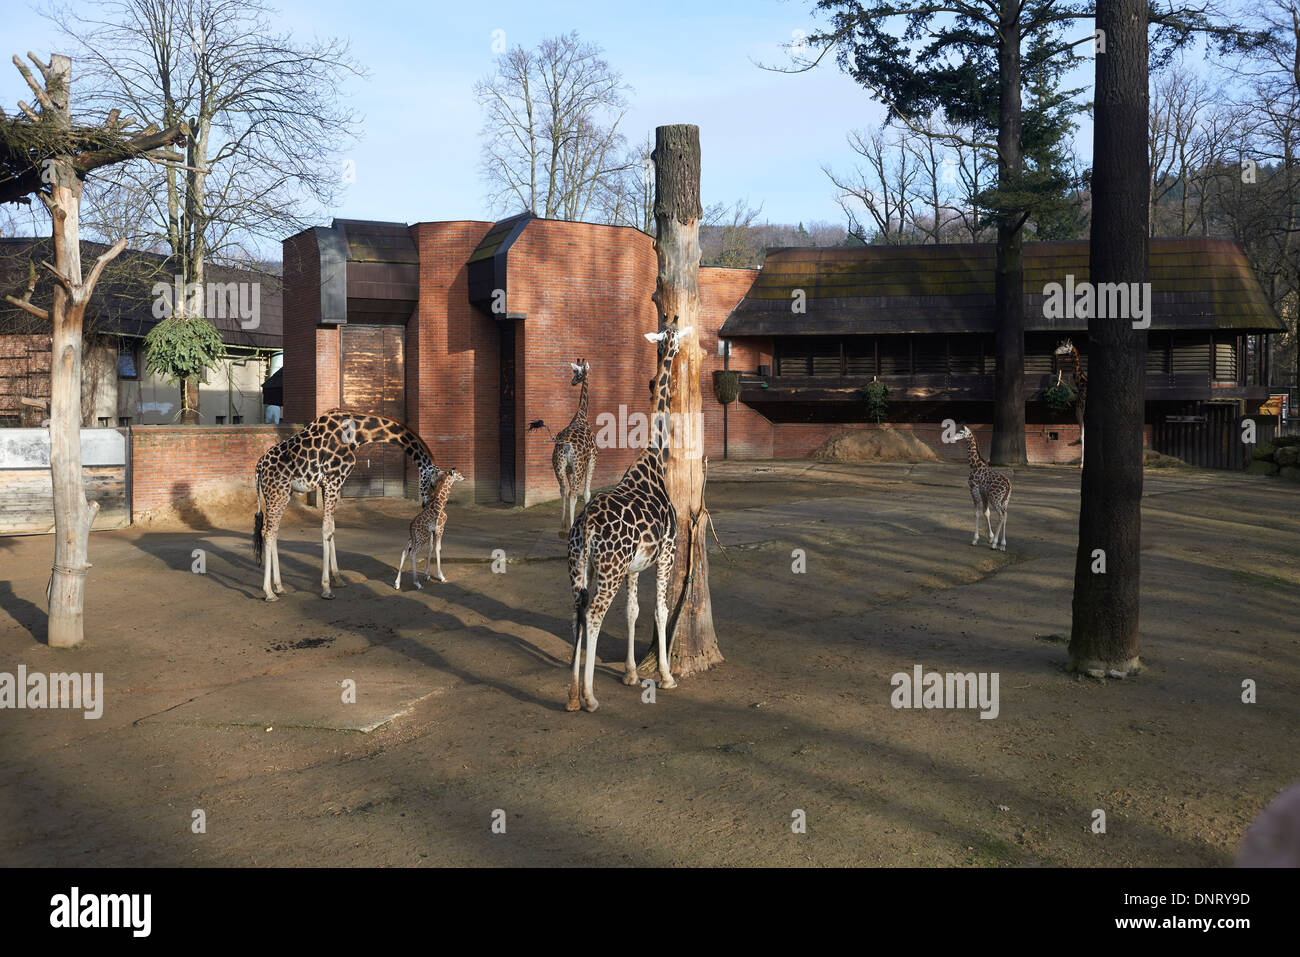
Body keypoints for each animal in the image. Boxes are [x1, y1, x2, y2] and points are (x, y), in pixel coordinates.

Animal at [548, 361, 598, 535]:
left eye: (577, 373)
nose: (573, 382)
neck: (581, 415)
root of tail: (566, 447)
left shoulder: (569, 469)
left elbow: (568, 491)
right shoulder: (592, 460)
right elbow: (587, 493)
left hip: (559, 465)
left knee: (563, 490)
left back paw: (563, 529)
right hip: (579, 467)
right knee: (575, 494)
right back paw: (569, 529)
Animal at [566, 325, 696, 712]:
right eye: (673, 337)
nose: (677, 345)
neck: (656, 456)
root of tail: (585, 527)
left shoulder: (634, 566)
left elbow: (632, 611)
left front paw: (631, 674)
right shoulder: (667, 553)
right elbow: (660, 610)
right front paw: (665, 677)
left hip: (582, 565)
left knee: (576, 612)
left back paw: (572, 697)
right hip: (609, 568)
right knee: (594, 614)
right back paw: (590, 697)